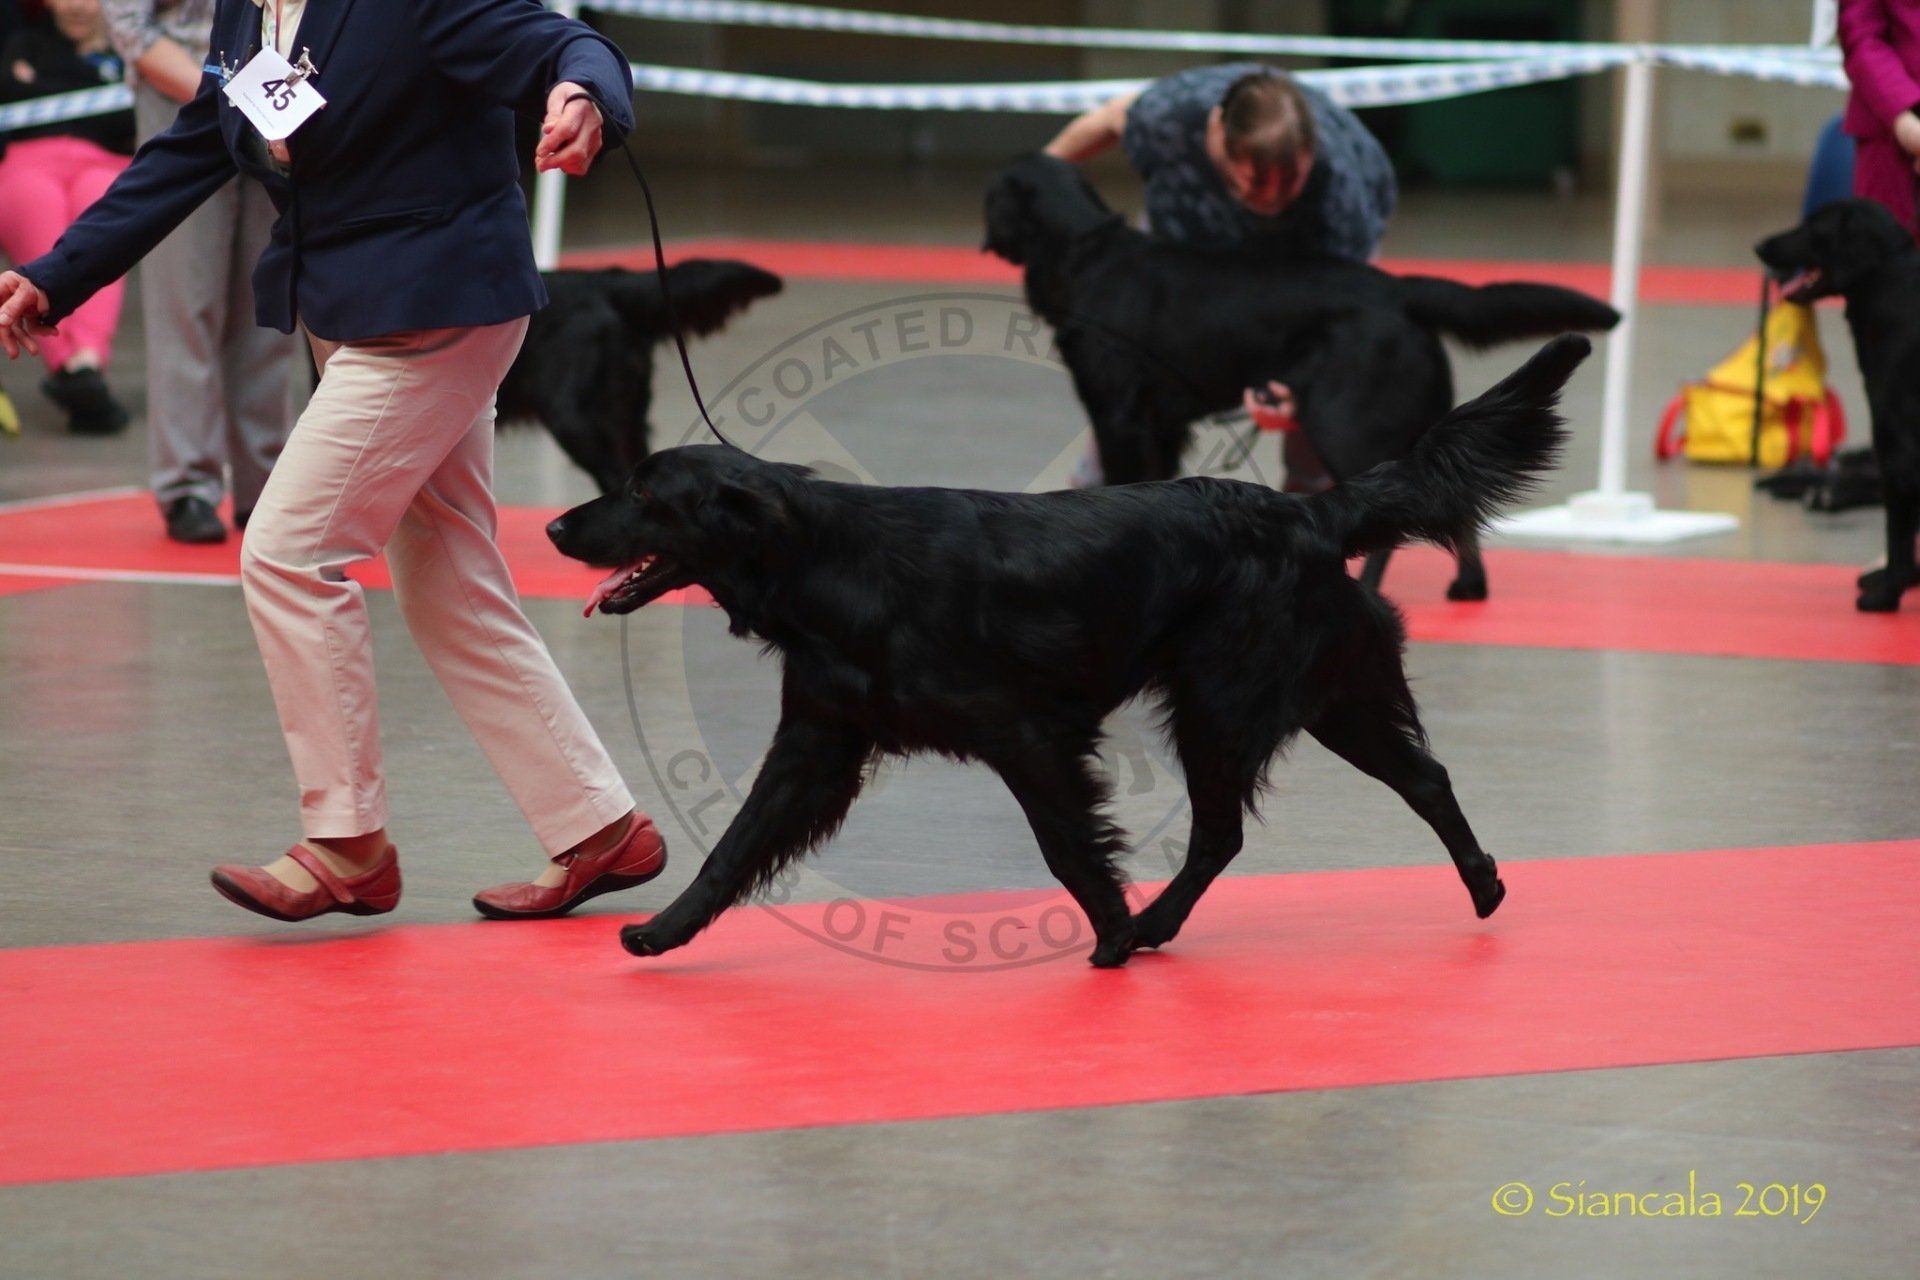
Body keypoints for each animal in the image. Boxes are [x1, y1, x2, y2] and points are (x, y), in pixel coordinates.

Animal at [548, 335, 1591, 968]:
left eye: (644, 494)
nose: (557, 525)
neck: (826, 564)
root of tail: (1308, 511)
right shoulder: (818, 739)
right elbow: (734, 845)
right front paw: (662, 930)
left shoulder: (1026, 733)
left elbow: (1066, 844)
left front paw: (1114, 936)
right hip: (1329, 697)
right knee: (1423, 778)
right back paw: (1485, 884)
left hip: (1223, 704)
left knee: (1227, 830)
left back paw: (1155, 925)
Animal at [982, 153, 1617, 601]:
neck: (1087, 253)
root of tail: (1399, 289)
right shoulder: (1162, 426)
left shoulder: (1118, 414)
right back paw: (1468, 588)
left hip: (1347, 423)